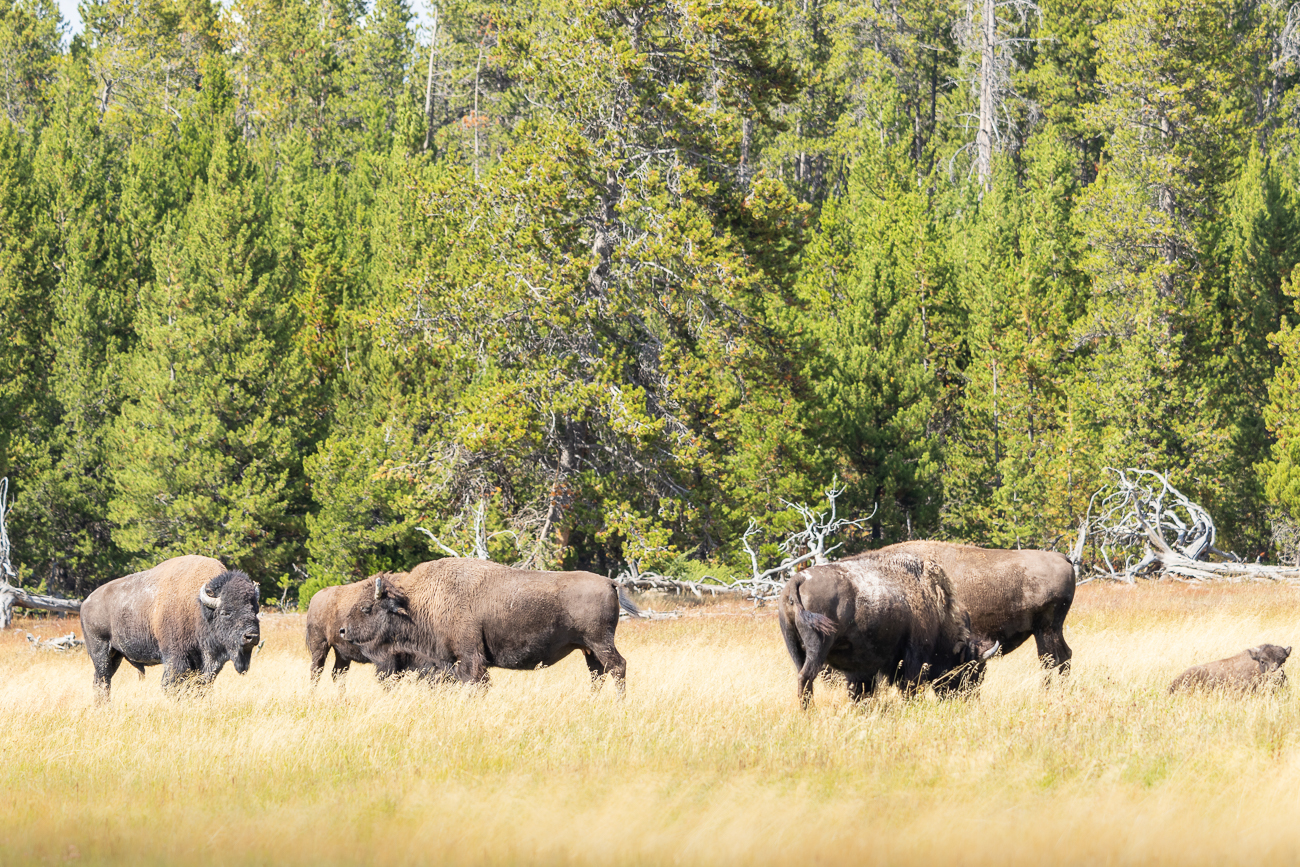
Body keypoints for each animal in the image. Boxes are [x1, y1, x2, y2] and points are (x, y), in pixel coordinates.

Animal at [78, 556, 261, 707]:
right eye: (225, 612)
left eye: (255, 610)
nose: (251, 636)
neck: (199, 608)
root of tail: (86, 602)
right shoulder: (176, 658)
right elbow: (172, 686)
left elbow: (200, 687)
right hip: (101, 650)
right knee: (103, 680)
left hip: (115, 655)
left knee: (101, 680)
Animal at [338, 564, 637, 691]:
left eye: (366, 608)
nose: (343, 630)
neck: (418, 602)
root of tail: (610, 582)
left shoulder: (470, 658)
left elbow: (474, 683)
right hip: (588, 648)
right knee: (598, 674)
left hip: (600, 642)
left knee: (618, 667)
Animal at [774, 553, 998, 707]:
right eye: (972, 671)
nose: (969, 700)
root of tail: (798, 580)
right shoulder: (914, 659)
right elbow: (909, 687)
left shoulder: (862, 669)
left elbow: (861, 691)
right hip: (817, 649)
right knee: (806, 677)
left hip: (795, 648)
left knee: (802, 677)